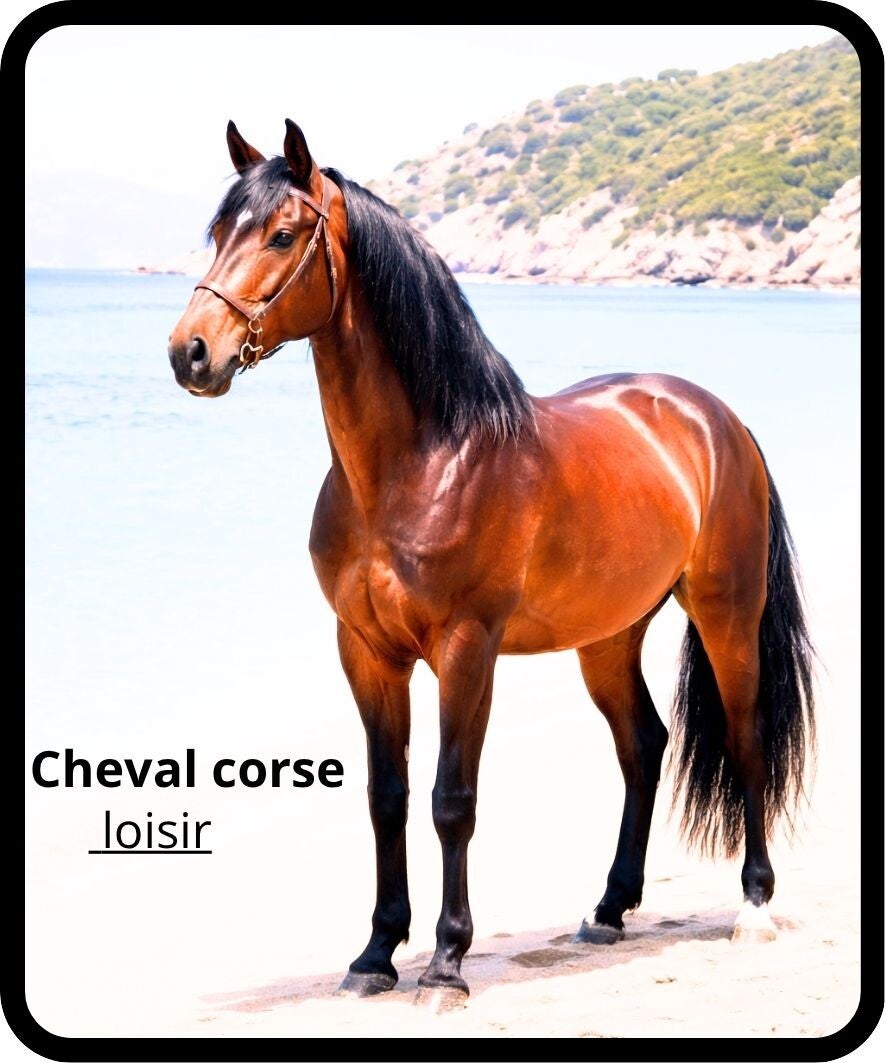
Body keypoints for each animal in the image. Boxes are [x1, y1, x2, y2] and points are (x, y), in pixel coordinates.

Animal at [168, 119, 815, 1009]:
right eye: (218, 231)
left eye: (283, 234)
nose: (191, 353)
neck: (421, 463)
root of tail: (716, 420)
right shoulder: (366, 653)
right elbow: (388, 798)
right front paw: (375, 953)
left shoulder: (467, 648)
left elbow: (452, 799)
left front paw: (445, 962)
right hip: (607, 637)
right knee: (643, 745)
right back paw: (608, 908)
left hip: (727, 614)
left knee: (747, 738)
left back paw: (753, 904)